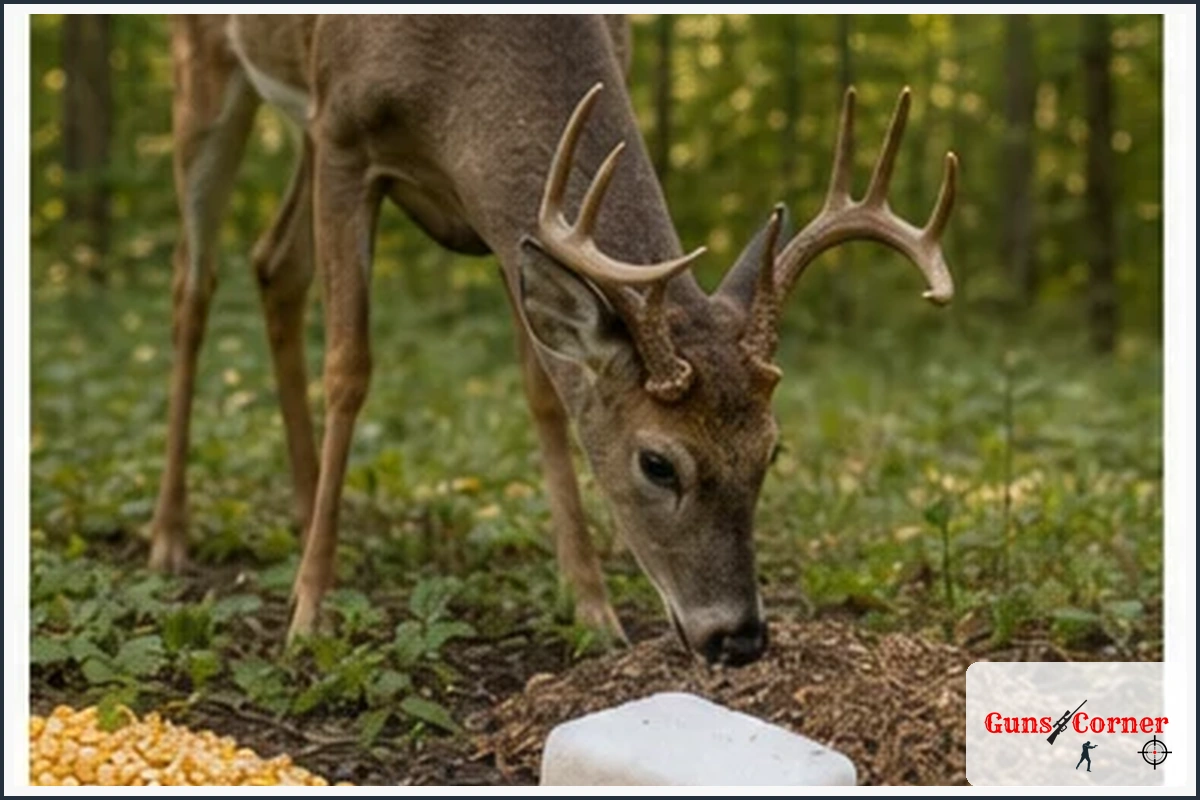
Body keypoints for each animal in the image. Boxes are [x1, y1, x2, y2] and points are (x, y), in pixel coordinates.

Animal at [148, 14, 956, 666]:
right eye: (658, 463)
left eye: (772, 450)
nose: (739, 638)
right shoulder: (344, 133)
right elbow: (350, 367)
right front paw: (310, 613)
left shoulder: (505, 220)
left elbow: (544, 389)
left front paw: (593, 607)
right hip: (210, 76)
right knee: (193, 282)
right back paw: (170, 535)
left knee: (273, 265)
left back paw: (303, 496)